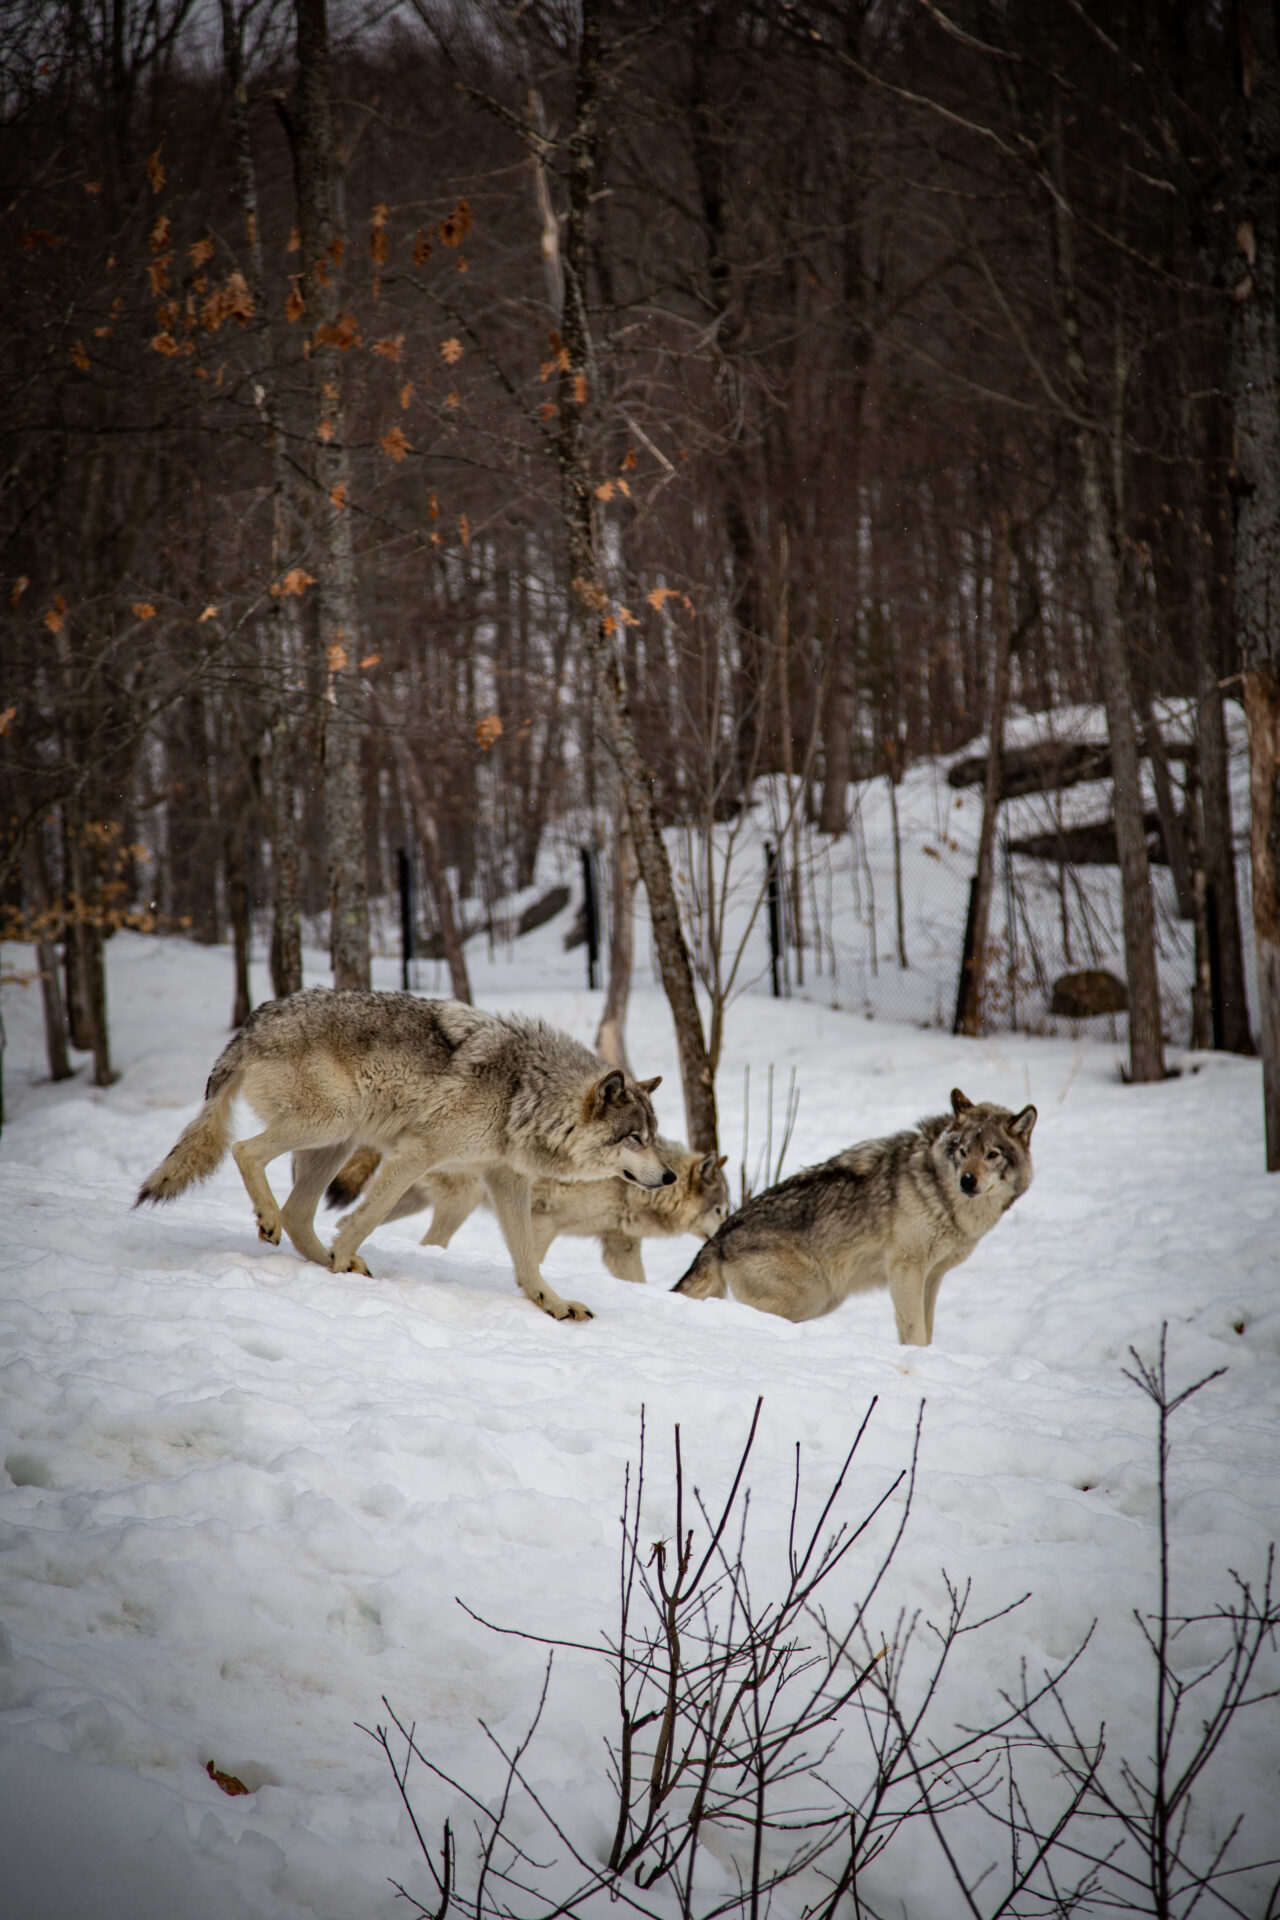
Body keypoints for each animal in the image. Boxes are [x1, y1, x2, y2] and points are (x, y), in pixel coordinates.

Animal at [135, 990, 675, 1320]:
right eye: (635, 1138)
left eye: (654, 1136)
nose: (670, 1177)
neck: (524, 1093)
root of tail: (255, 1019)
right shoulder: (416, 1154)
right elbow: (367, 1216)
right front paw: (344, 1257)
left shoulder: (505, 1179)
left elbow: (526, 1258)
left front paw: (553, 1305)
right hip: (334, 1122)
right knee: (246, 1152)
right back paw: (283, 1230)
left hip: (337, 1143)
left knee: (299, 1214)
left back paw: (324, 1259)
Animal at [320, 1128, 729, 1282]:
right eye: (721, 1209)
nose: (727, 1231)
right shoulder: (544, 1224)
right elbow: (533, 1259)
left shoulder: (619, 1246)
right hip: (461, 1203)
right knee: (429, 1243)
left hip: (414, 1200)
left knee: (348, 1219)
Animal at [675, 1090, 1036, 1344]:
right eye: (962, 1151)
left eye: (992, 1154)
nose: (967, 1181)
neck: (939, 1190)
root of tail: (720, 1236)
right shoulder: (905, 1270)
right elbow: (915, 1333)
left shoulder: (933, 1276)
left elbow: (927, 1329)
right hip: (810, 1295)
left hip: (824, 1301)